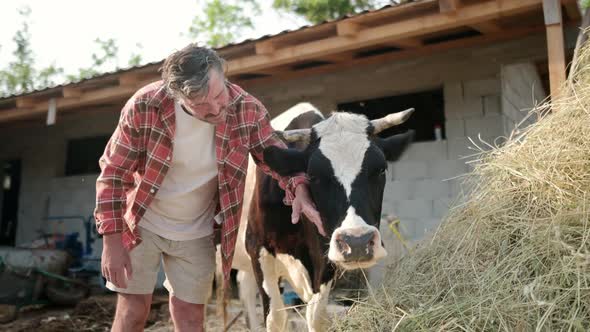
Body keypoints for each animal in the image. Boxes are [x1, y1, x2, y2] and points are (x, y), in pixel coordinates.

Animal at [234, 102, 414, 330]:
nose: (356, 241)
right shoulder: (257, 248)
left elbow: (316, 315)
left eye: (381, 169)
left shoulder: (325, 256)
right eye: (313, 176)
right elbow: (276, 318)